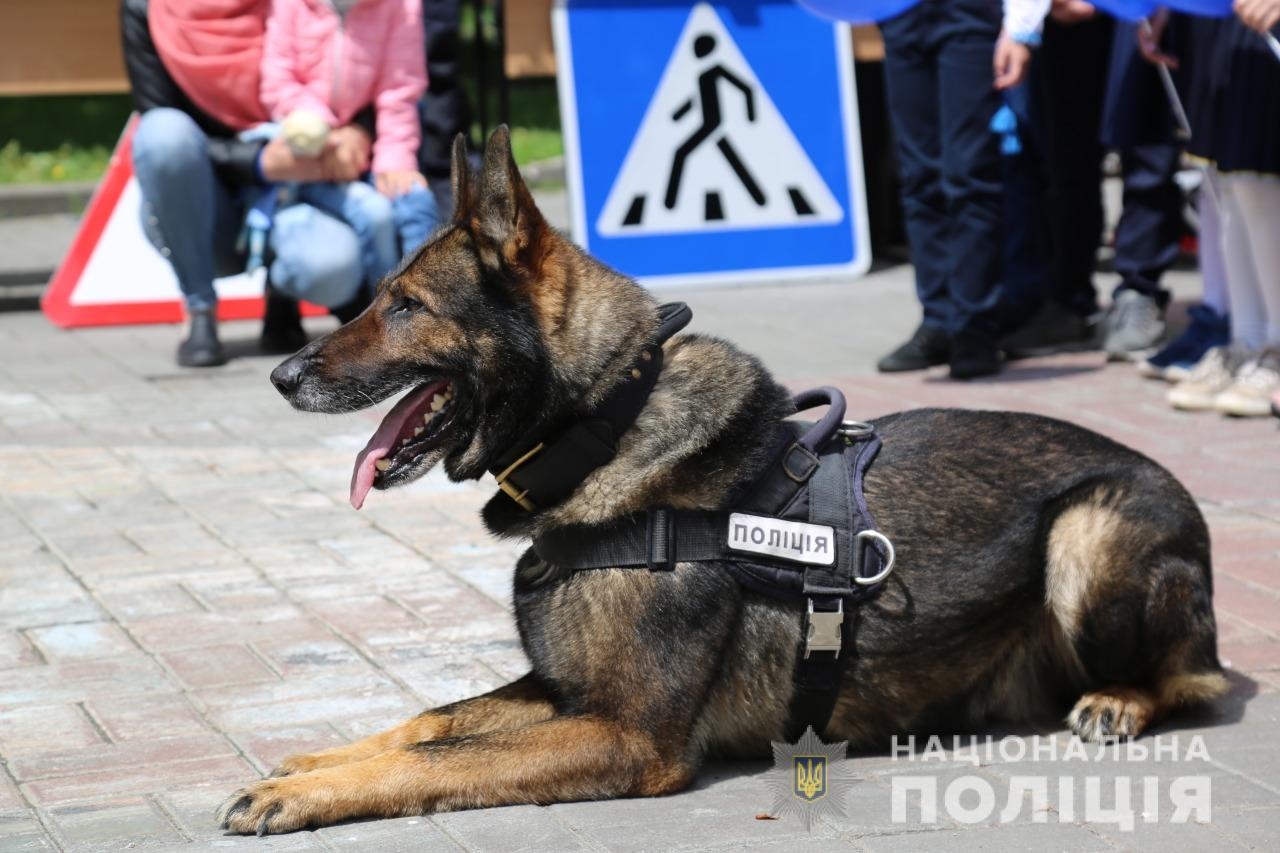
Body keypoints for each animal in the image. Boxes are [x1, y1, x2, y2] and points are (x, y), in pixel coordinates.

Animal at [220, 126, 1228, 829]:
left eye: (405, 305)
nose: (281, 375)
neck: (604, 429)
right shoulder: (565, 692)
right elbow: (431, 720)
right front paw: (314, 765)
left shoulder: (626, 733)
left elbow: (439, 759)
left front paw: (303, 796)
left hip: (1086, 539)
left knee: (1197, 678)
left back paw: (1118, 700)